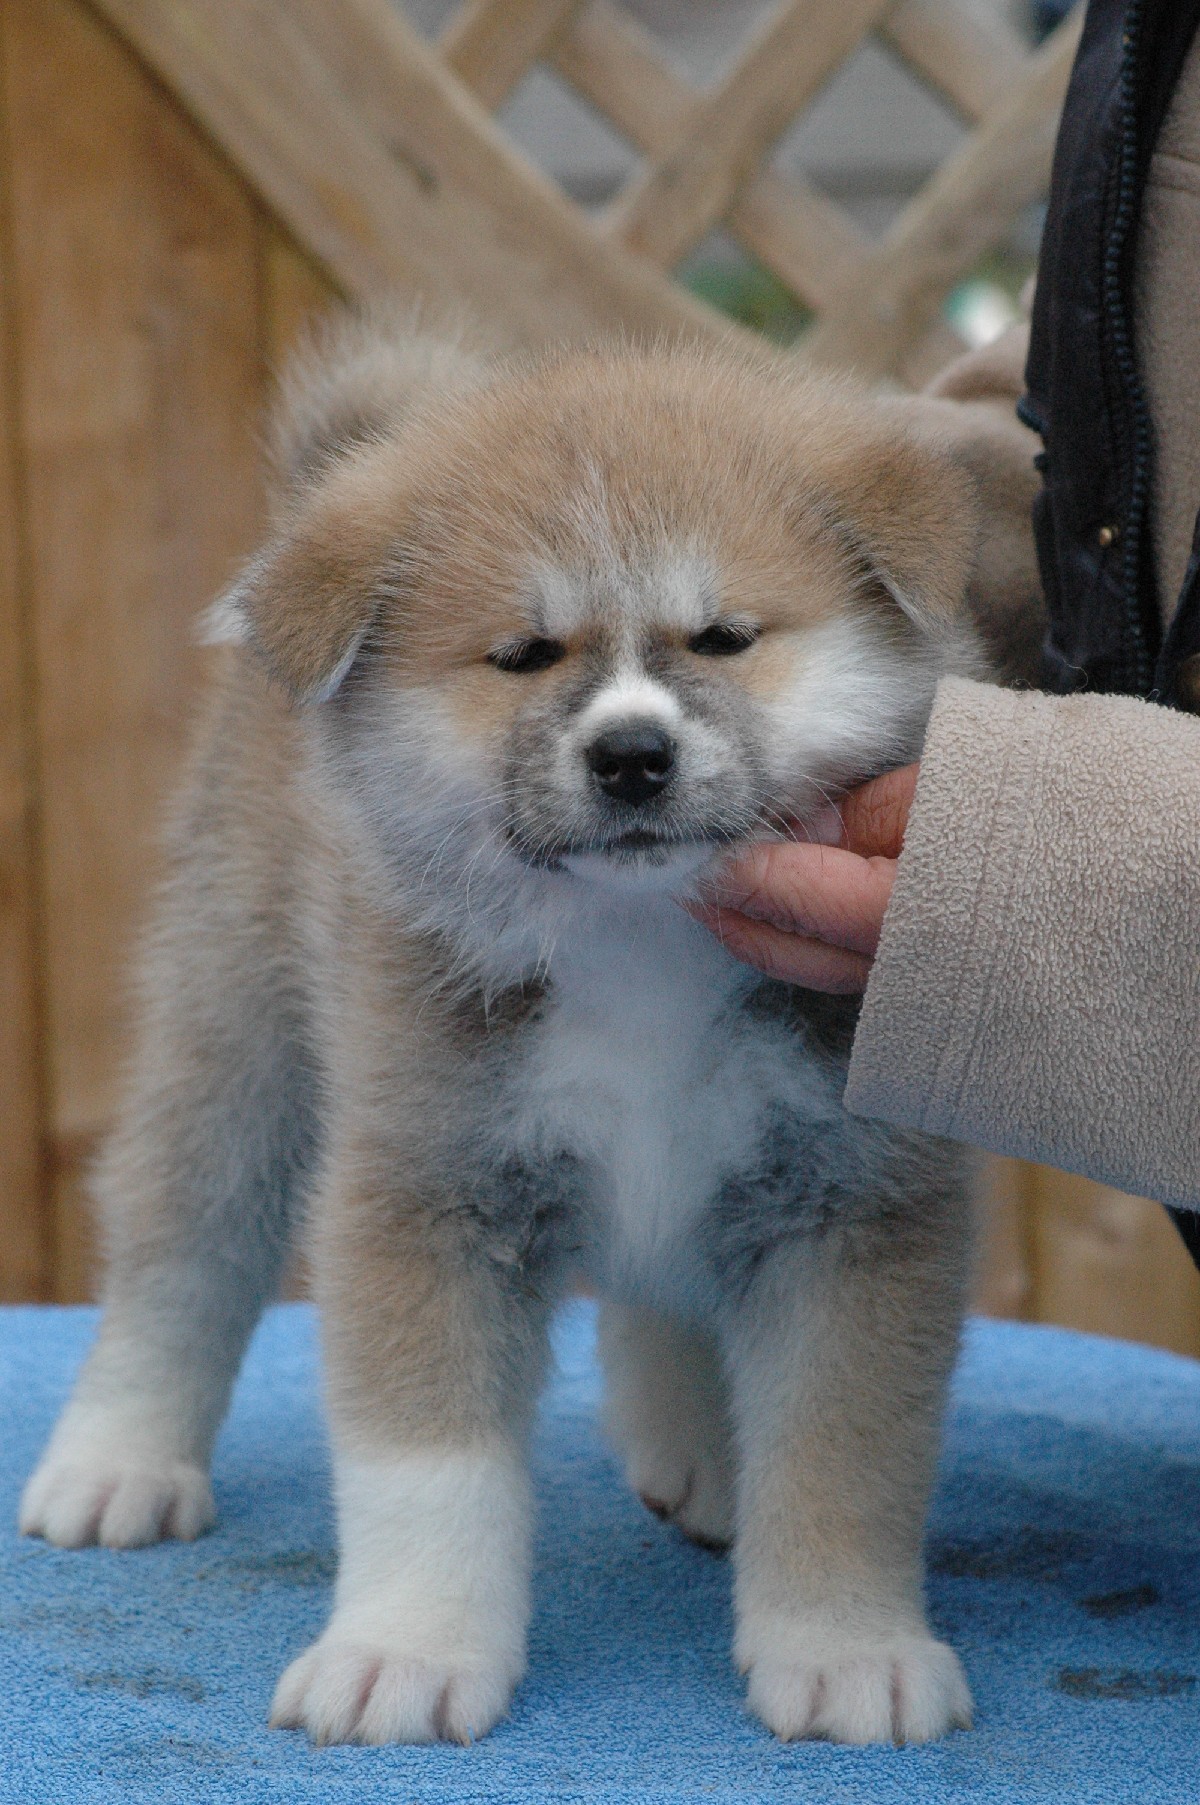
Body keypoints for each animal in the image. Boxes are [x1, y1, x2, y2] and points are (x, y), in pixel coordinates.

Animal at [21, 321, 984, 1747]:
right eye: (525, 654)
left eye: (723, 638)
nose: (632, 755)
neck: (637, 943)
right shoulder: (430, 1188)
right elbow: (430, 1472)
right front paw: (406, 1650)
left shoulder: (856, 1204)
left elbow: (842, 1452)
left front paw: (846, 1645)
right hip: (236, 1032)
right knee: (179, 1253)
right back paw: (116, 1458)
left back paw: (697, 1445)